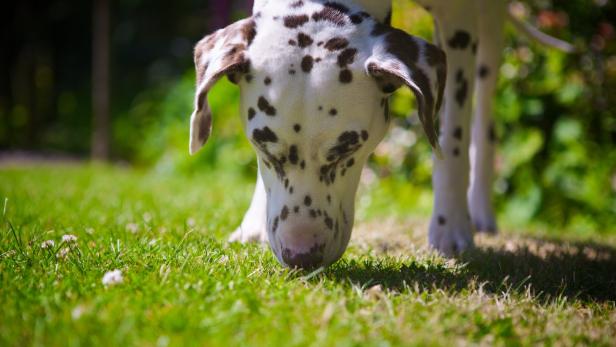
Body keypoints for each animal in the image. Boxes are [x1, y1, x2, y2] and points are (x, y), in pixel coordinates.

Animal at [190, 0, 576, 268]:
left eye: (346, 151)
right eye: (264, 148)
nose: (302, 255)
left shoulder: (459, 25)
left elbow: (452, 140)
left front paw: (450, 229)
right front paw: (254, 221)